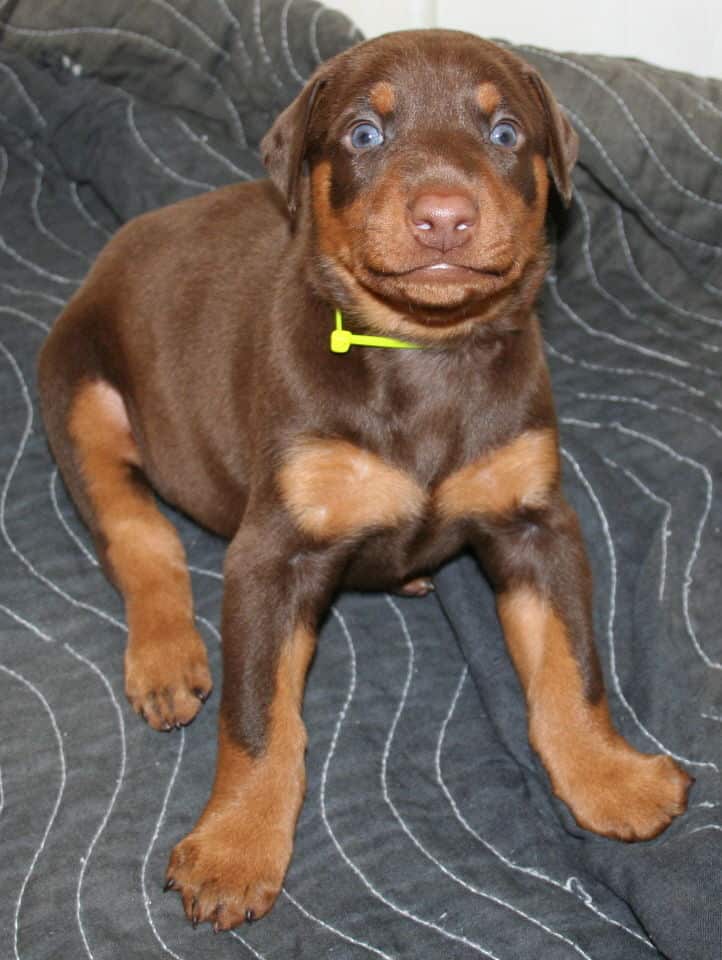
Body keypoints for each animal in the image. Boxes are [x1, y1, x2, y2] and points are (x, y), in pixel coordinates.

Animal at [39, 30, 692, 928]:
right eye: (363, 134)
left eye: (505, 134)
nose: (444, 216)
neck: (422, 353)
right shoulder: (273, 552)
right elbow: (258, 715)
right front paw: (234, 849)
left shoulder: (534, 519)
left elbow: (572, 664)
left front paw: (610, 778)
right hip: (78, 394)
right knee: (139, 534)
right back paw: (167, 659)